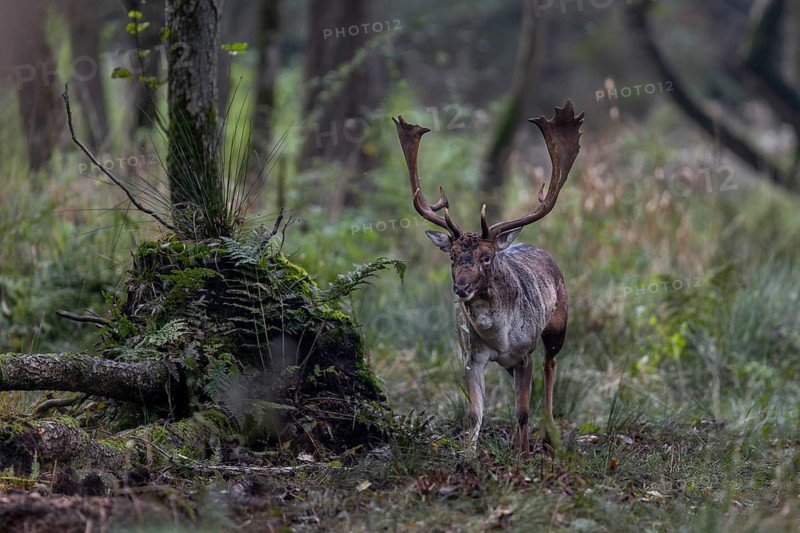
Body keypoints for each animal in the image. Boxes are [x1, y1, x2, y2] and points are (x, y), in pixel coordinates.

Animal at [393, 100, 584, 459]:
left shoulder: (525, 353)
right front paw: (468, 455)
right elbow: (475, 412)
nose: (461, 287)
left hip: (558, 325)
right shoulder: (472, 355)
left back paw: (549, 436)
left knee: (551, 367)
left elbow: (523, 410)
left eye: (487, 256)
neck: (500, 337)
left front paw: (521, 454)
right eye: (452, 256)